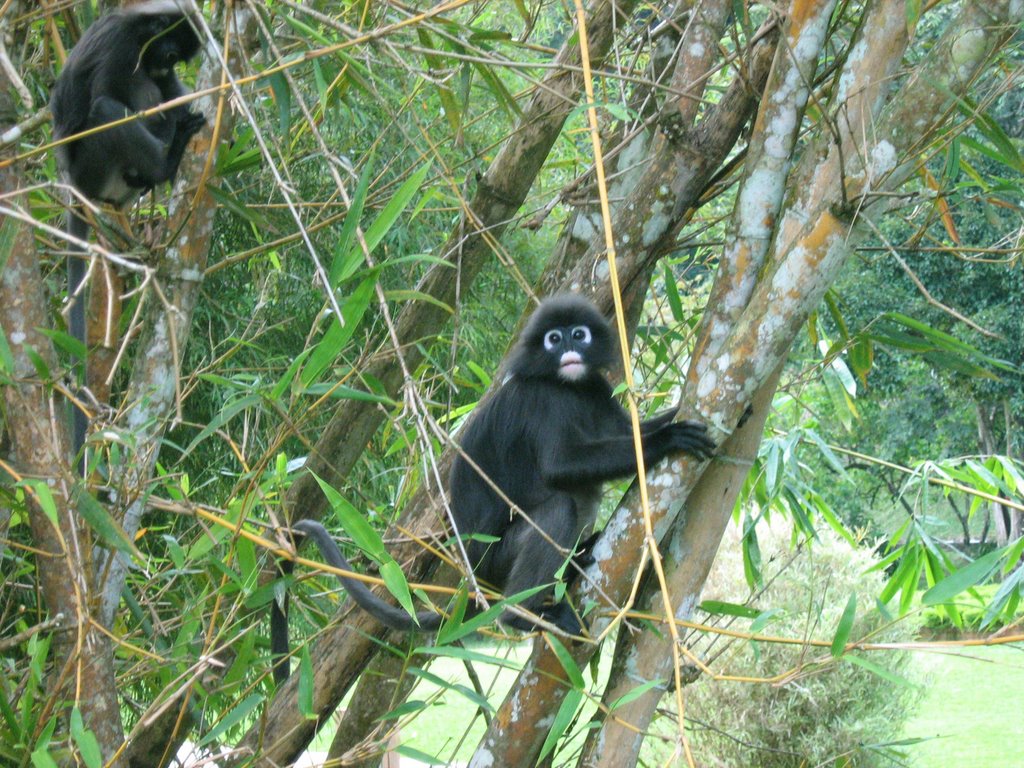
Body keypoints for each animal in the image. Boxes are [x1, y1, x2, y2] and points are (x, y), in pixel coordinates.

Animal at [49, 0, 205, 460]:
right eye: (170, 50)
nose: (165, 63)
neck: (139, 32)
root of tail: (74, 185)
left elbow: (169, 89)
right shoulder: (121, 49)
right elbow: (106, 96)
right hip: (94, 166)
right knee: (105, 107)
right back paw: (164, 163)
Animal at [276, 296, 716, 684]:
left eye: (579, 334)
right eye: (554, 339)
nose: (570, 350)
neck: (567, 386)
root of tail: (474, 575)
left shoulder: (595, 390)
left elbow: (629, 432)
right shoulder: (541, 401)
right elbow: (560, 467)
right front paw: (666, 439)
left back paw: (577, 557)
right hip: (496, 560)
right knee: (560, 506)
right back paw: (523, 613)